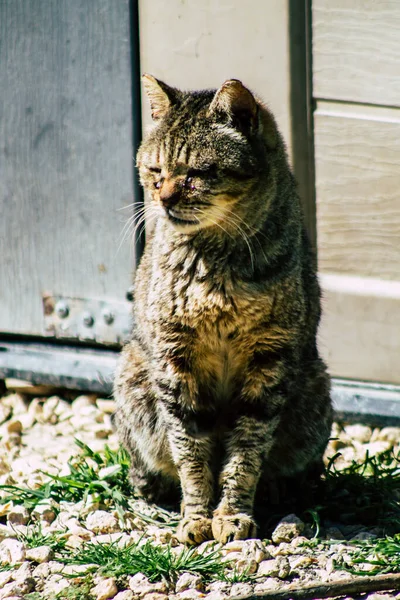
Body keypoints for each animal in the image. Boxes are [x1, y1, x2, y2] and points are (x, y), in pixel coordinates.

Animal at [114, 74, 332, 544]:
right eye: (155, 170)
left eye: (197, 174)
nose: (164, 198)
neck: (216, 266)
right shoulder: (175, 364)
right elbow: (191, 452)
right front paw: (196, 516)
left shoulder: (269, 363)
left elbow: (246, 453)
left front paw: (231, 515)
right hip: (133, 377)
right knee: (147, 471)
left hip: (313, 387)